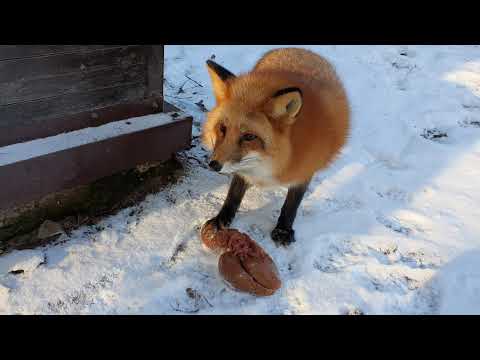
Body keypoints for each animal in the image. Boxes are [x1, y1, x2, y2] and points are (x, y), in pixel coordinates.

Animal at [202, 47, 348, 245]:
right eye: (222, 128)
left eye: (249, 136)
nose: (213, 165)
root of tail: (303, 50)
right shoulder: (244, 167)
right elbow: (234, 194)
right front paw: (221, 219)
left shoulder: (305, 168)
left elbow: (292, 203)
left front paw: (283, 229)